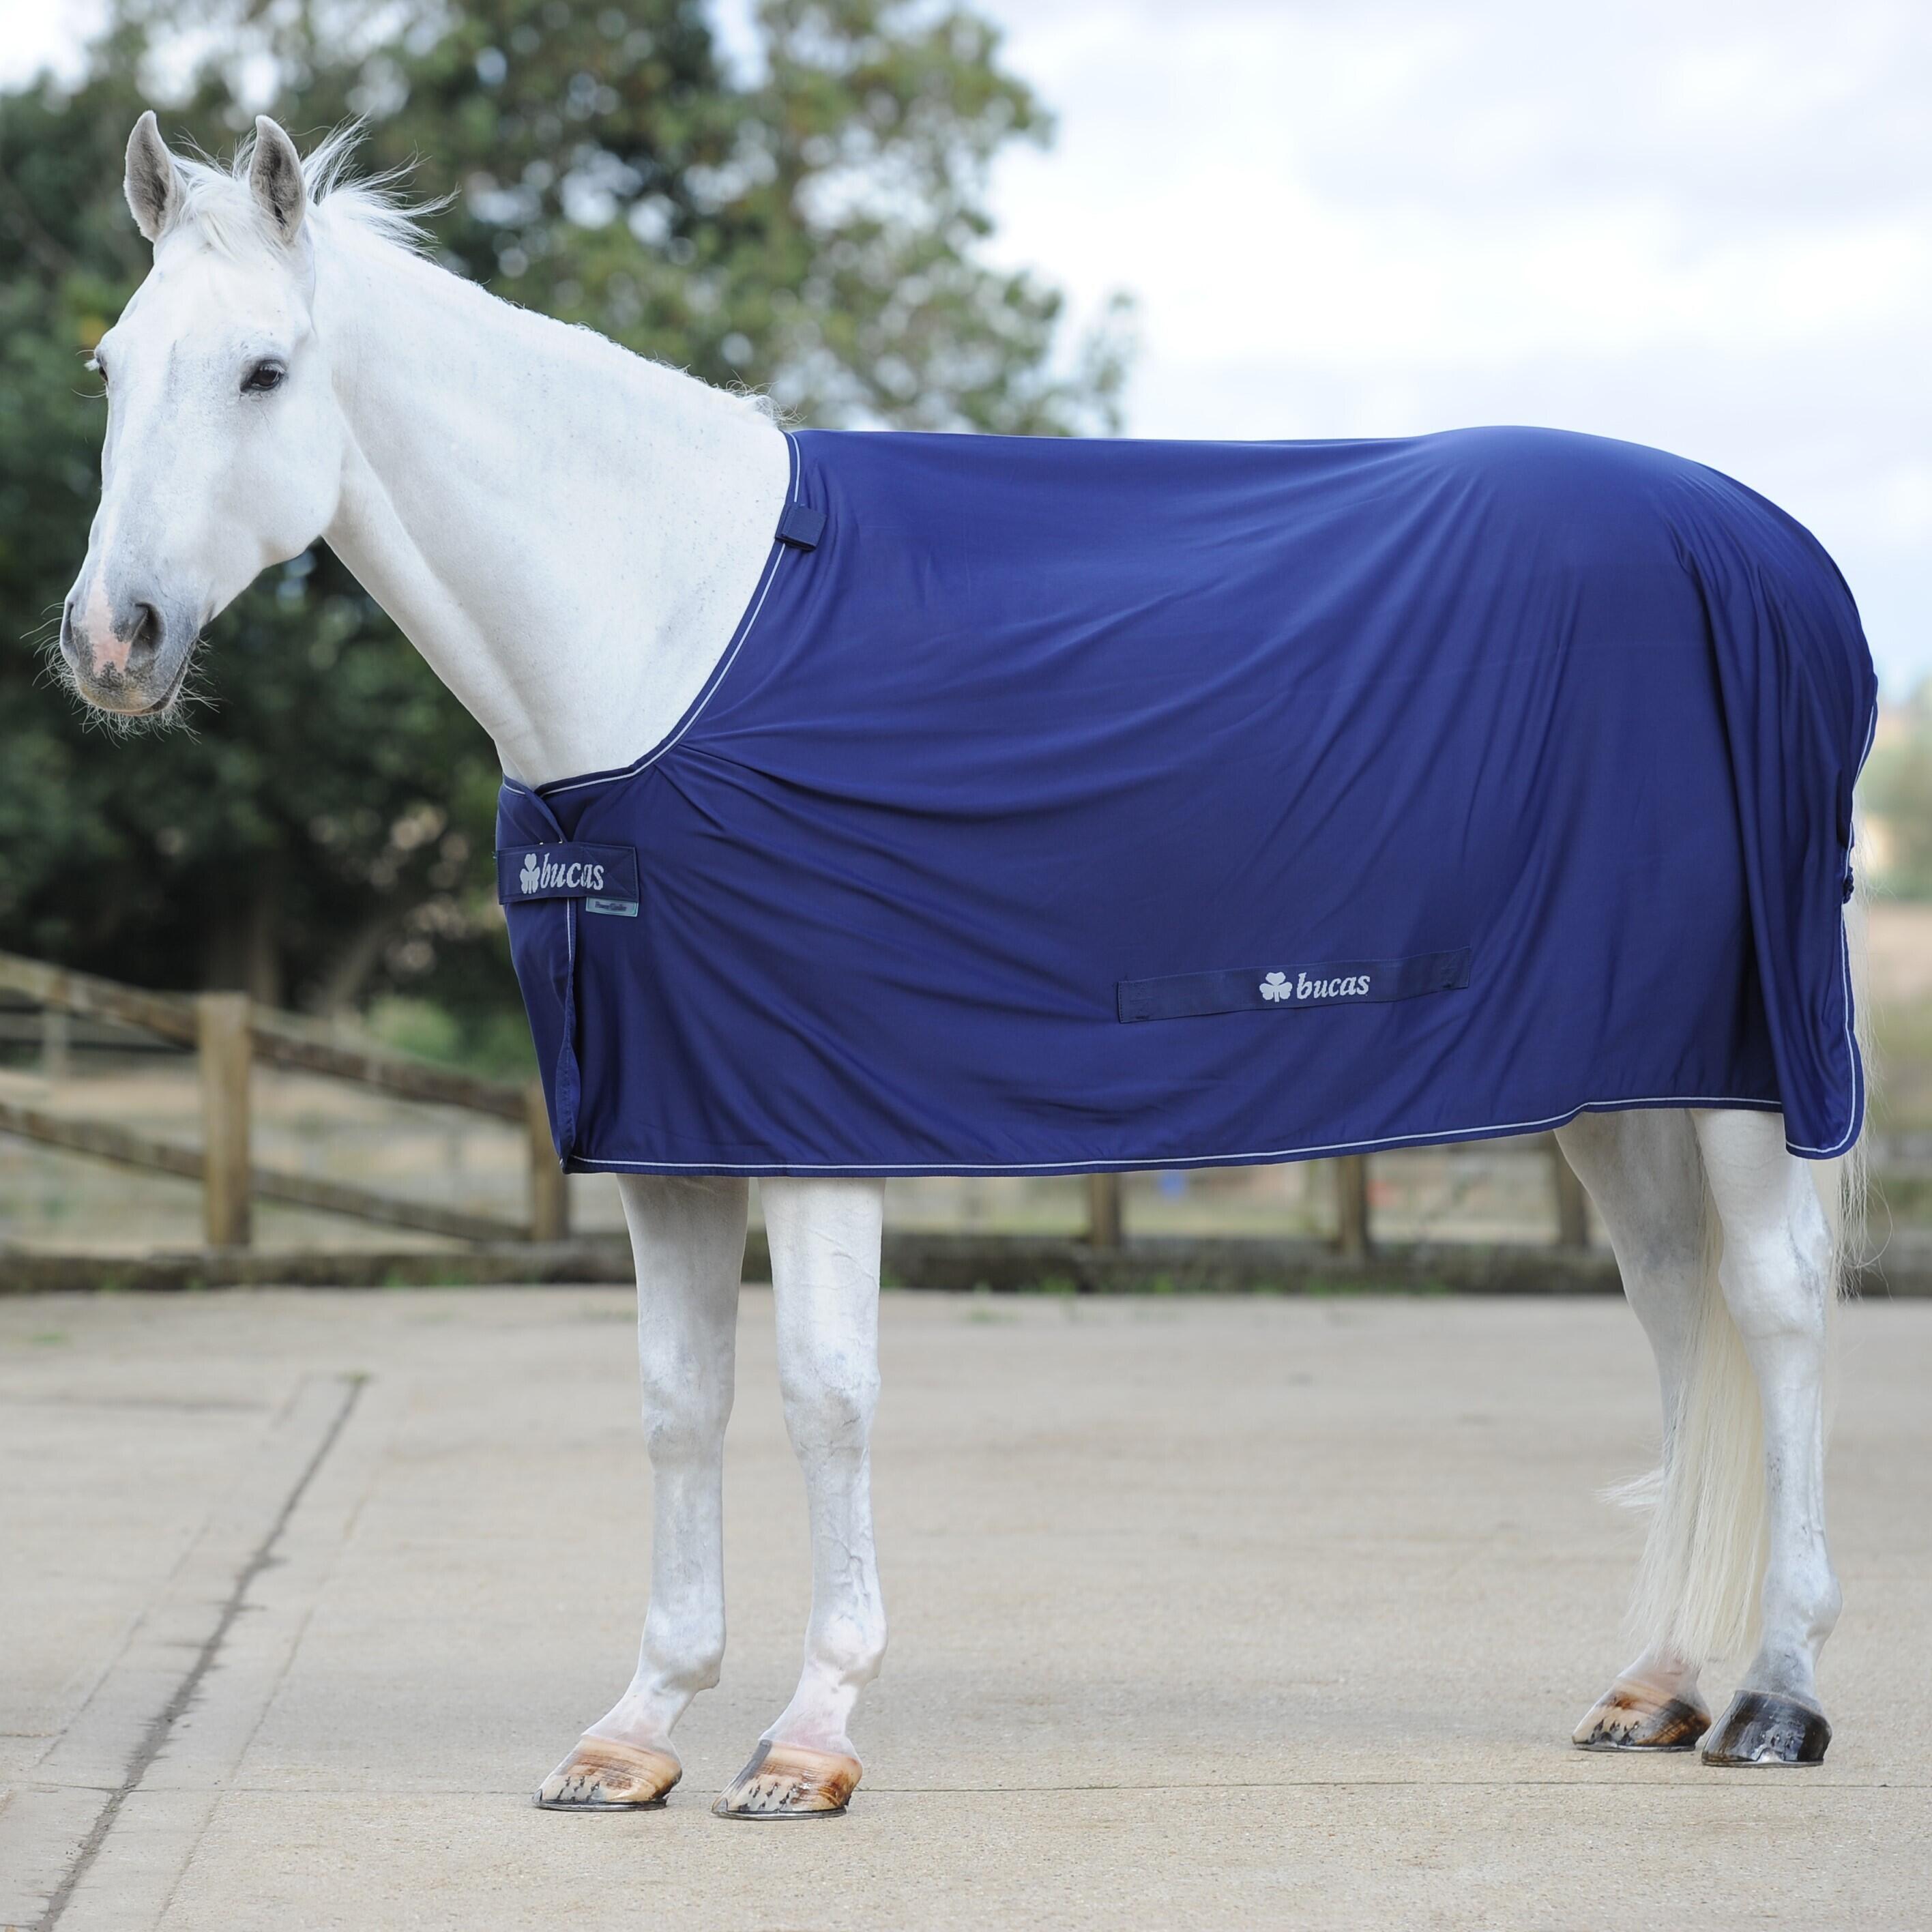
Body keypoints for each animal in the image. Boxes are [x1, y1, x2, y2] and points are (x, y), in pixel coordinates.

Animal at [56, 114, 1871, 1815]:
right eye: (111, 366)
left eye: (265, 369)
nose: (108, 642)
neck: (668, 633)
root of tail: (1773, 551)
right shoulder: (666, 1132)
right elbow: (675, 1401)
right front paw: (637, 1727)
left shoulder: (814, 1117)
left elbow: (823, 1395)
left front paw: (807, 1735)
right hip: (1615, 1074)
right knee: (1668, 1306)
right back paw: (1654, 1682)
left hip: (1748, 1063)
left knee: (1773, 1309)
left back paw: (1776, 1694)